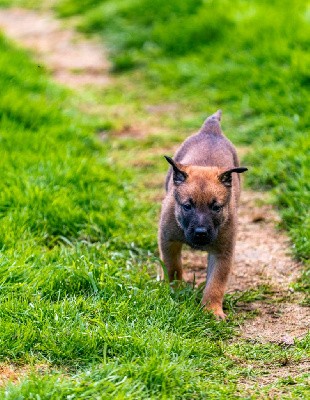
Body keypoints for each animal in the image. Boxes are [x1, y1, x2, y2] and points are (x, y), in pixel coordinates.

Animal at [157, 109, 247, 318]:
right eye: (187, 206)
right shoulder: (168, 241)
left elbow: (216, 283)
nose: (201, 233)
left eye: (216, 207)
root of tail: (211, 131)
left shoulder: (223, 252)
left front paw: (211, 310)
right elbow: (174, 268)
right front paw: (176, 291)